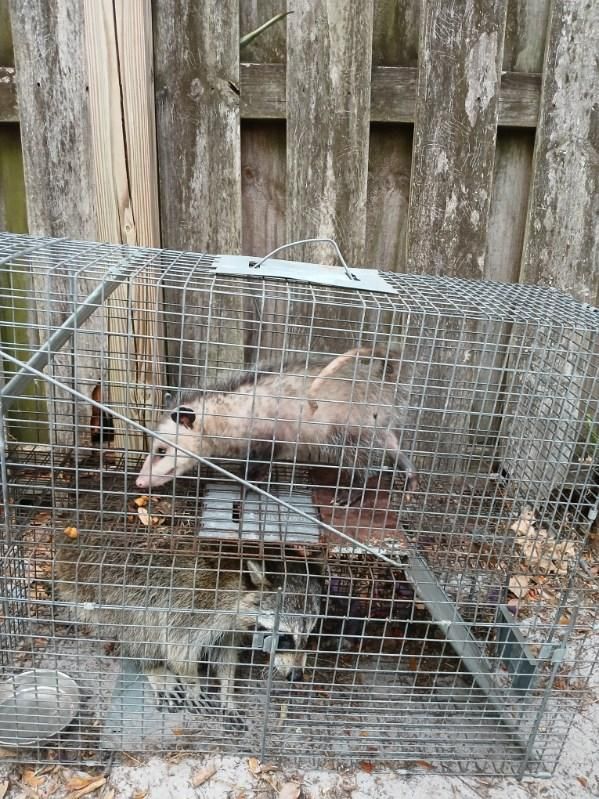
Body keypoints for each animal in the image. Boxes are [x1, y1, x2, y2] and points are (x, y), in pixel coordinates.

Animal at [55, 537, 323, 718]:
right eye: (285, 637)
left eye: (309, 637)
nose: (297, 675)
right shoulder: (193, 604)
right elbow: (178, 647)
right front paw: (192, 682)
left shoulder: (230, 625)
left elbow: (225, 652)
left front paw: (227, 689)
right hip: (113, 587)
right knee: (142, 627)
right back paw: (153, 666)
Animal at [136, 348, 417, 501]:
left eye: (161, 451)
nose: (138, 482)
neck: (225, 415)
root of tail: (382, 381)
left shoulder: (268, 437)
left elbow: (256, 466)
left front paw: (247, 486)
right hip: (377, 423)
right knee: (391, 442)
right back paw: (410, 474)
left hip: (349, 429)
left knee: (363, 461)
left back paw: (353, 491)